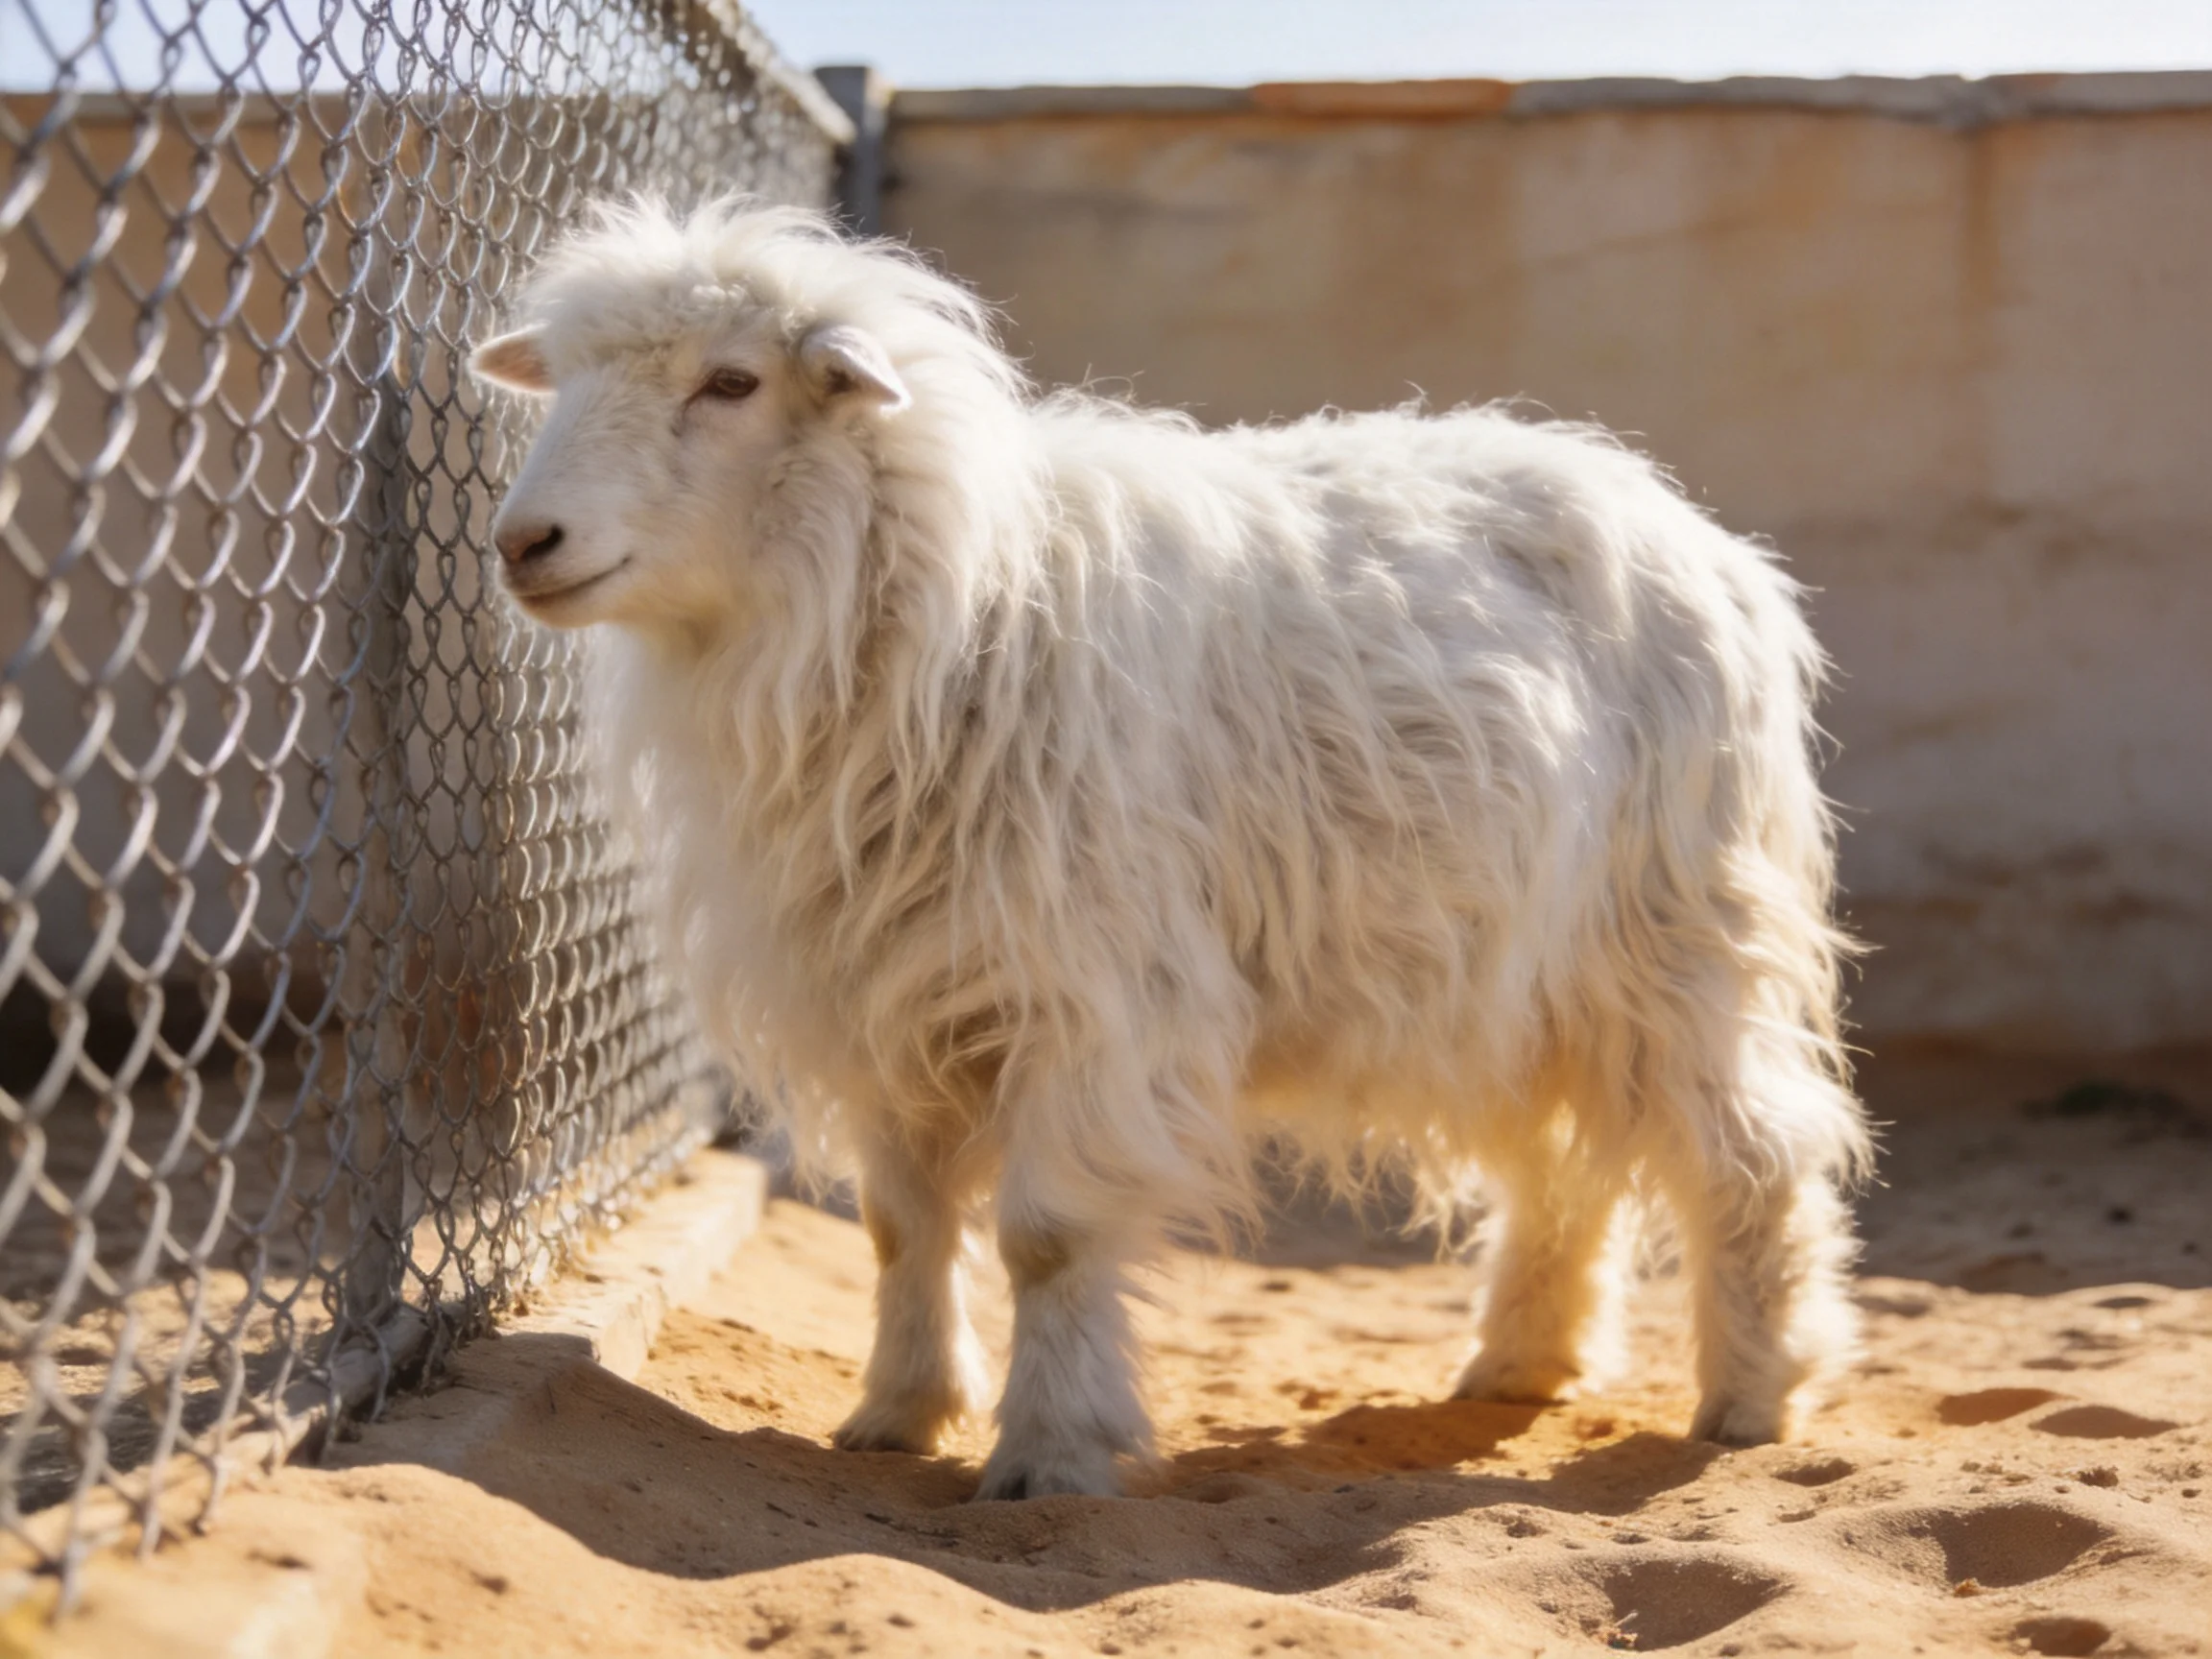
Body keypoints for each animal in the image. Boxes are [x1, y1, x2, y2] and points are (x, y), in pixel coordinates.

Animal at [469, 198, 1871, 1500]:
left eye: (731, 381)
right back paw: (1520, 1362)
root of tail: (1701, 539)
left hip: (1677, 929)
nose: (522, 544)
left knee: (1753, 1151)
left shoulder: (1091, 987)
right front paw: (897, 1415)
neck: (954, 602)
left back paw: (1752, 1396)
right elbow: (899, 1224)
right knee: (1559, 1164)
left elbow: (1043, 1236)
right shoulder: (888, 986)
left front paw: (1047, 1456)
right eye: (569, 376)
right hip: (1522, 967)